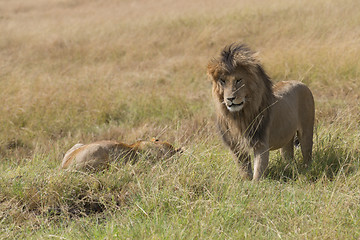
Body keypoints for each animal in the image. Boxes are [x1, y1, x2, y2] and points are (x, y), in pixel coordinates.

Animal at [207, 44, 314, 181]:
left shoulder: (261, 143)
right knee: (288, 156)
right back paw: (290, 170)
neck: (239, 117)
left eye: (238, 80)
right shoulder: (235, 146)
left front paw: (255, 185)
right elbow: (244, 170)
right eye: (222, 81)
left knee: (307, 153)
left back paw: (306, 171)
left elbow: (258, 171)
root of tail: (300, 82)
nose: (230, 99)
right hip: (286, 138)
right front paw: (245, 183)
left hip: (306, 131)